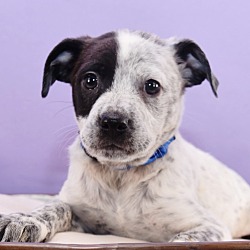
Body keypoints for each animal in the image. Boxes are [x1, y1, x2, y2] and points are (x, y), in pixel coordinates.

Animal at [0, 29, 250, 242]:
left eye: (152, 86)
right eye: (90, 80)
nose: (112, 122)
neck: (121, 176)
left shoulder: (208, 226)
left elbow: (183, 240)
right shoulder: (81, 213)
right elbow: (55, 206)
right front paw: (24, 218)